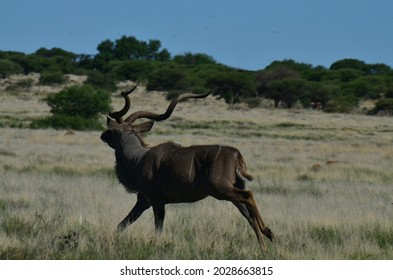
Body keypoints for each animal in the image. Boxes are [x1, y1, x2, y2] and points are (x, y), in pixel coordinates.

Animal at [101, 86, 272, 252]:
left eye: (112, 130)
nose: (103, 135)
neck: (138, 158)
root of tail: (235, 153)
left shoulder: (156, 201)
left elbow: (157, 229)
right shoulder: (143, 201)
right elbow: (121, 225)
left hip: (220, 189)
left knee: (248, 196)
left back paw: (267, 231)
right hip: (231, 191)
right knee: (249, 216)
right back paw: (264, 246)